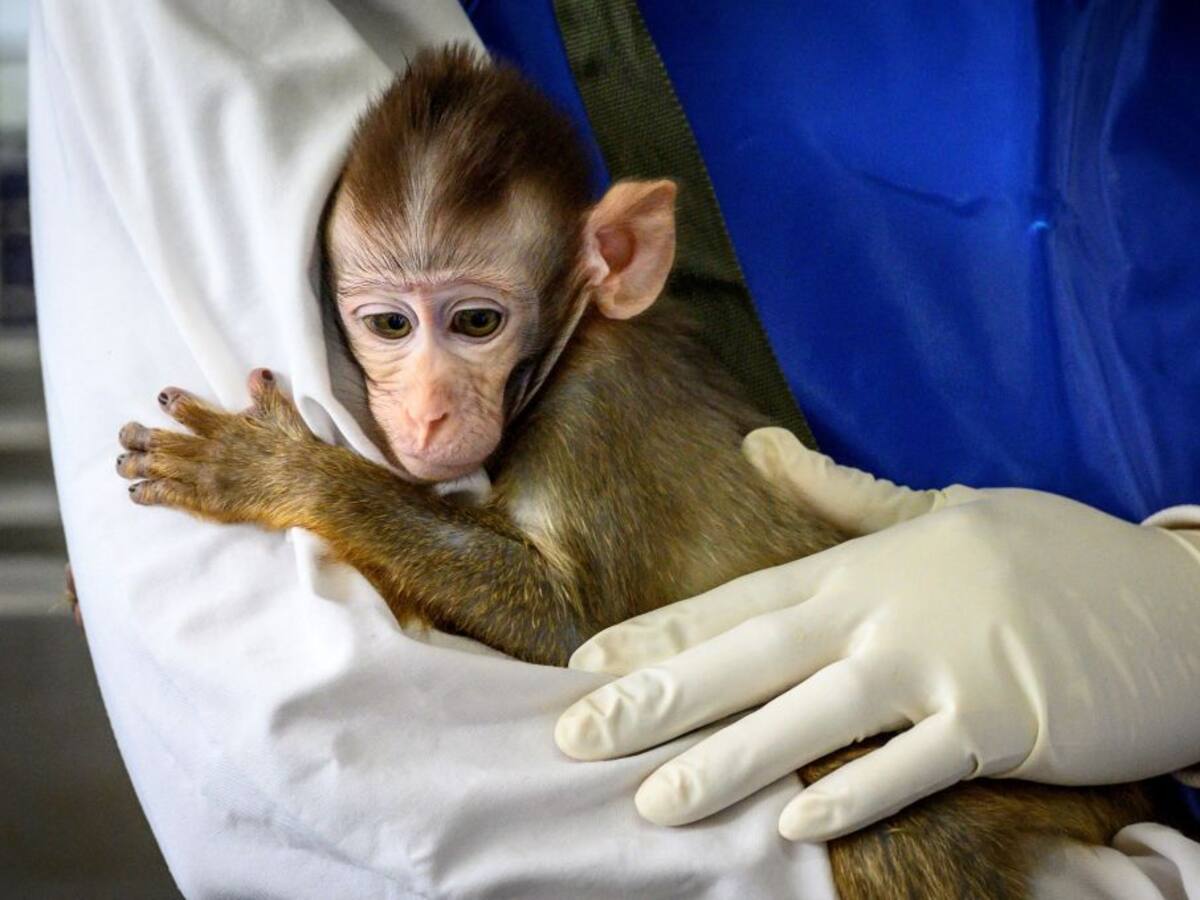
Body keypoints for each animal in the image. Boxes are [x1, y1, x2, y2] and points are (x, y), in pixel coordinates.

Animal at [114, 46, 1161, 899]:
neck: (574, 343)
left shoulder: (591, 419)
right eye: (389, 324)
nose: (428, 410)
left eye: (476, 323)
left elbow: (576, 625)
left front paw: (280, 470)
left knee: (898, 832)